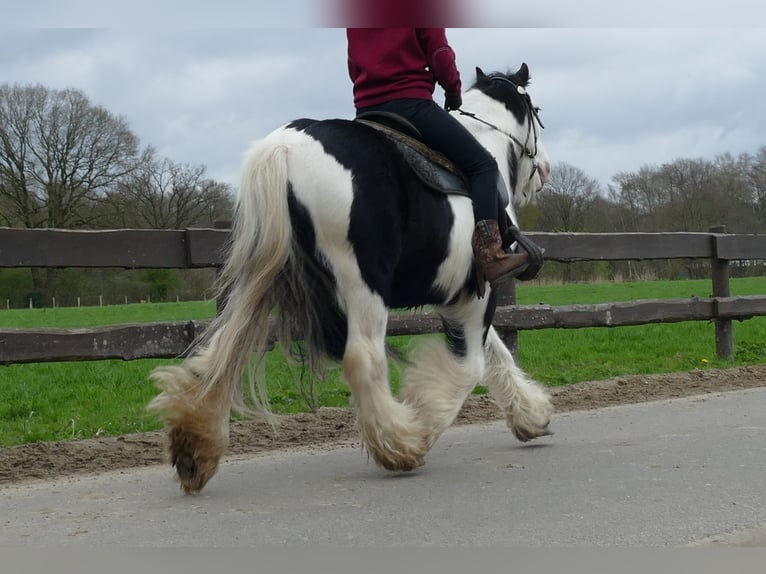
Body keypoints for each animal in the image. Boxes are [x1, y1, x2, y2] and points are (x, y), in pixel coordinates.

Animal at [150, 62, 556, 496]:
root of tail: (285, 148)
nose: (545, 171)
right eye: (536, 111)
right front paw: (422, 424)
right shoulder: (477, 292)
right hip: (362, 284)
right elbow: (472, 366)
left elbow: (495, 354)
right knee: (363, 359)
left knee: (222, 351)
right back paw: (398, 444)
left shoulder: (459, 298)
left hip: (260, 276)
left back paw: (194, 448)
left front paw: (532, 416)